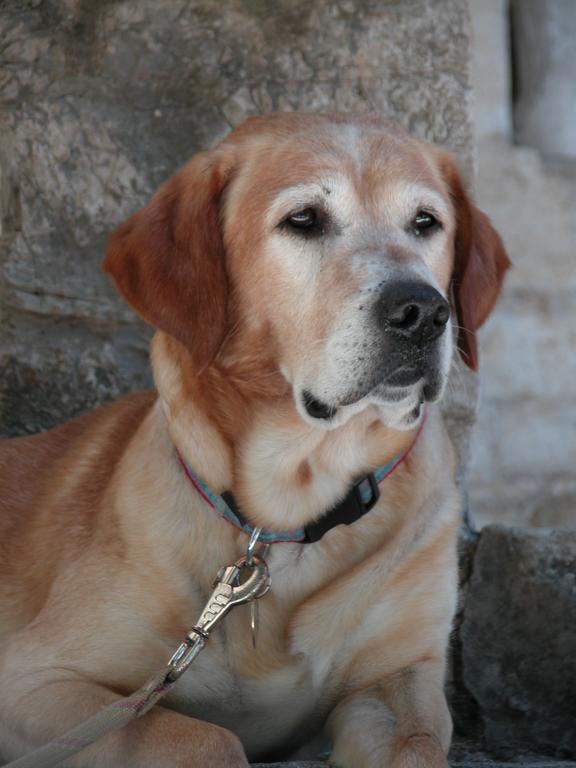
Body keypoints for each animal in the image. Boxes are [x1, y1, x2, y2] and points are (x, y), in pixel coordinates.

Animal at [0, 114, 508, 768]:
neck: (285, 518)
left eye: (426, 222)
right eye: (304, 220)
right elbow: (207, 736)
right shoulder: (35, 680)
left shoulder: (398, 680)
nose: (422, 310)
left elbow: (416, 748)